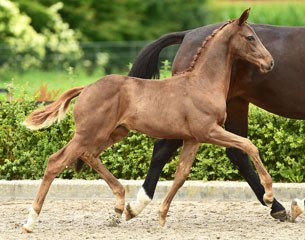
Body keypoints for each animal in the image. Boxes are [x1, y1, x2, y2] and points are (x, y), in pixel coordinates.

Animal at [22, 9, 272, 232]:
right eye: (250, 37)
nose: (269, 63)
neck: (201, 83)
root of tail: (86, 88)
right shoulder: (209, 131)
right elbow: (249, 145)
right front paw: (269, 195)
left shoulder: (192, 139)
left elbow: (181, 175)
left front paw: (160, 216)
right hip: (89, 133)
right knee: (56, 161)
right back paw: (30, 222)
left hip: (114, 132)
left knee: (89, 155)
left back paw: (119, 206)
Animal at [125, 15, 305, 222]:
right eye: (250, 38)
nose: (270, 63)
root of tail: (187, 34)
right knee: (163, 148)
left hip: (235, 104)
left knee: (236, 153)